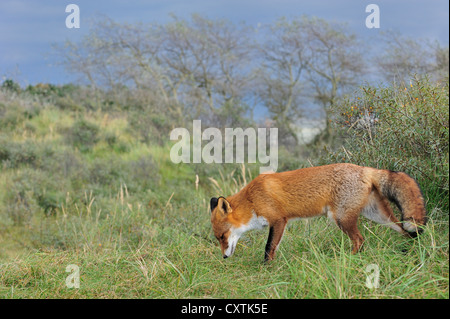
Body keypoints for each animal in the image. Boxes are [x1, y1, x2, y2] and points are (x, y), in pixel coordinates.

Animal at [209, 164, 428, 262]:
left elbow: (269, 247)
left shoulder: (279, 220)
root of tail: (365, 168)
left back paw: (347, 260)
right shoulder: (279, 222)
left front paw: (265, 268)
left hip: (341, 218)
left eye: (222, 236)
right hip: (377, 215)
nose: (224, 257)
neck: (252, 199)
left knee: (360, 239)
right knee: (404, 230)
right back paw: (410, 250)